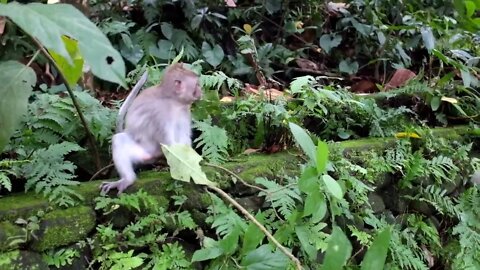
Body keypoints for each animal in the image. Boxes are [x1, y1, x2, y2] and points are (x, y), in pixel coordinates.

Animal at [100, 63, 202, 194]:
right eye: (196, 85)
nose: (201, 91)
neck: (174, 102)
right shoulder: (160, 114)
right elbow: (169, 144)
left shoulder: (184, 111)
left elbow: (184, 139)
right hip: (143, 153)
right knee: (119, 140)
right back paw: (127, 180)